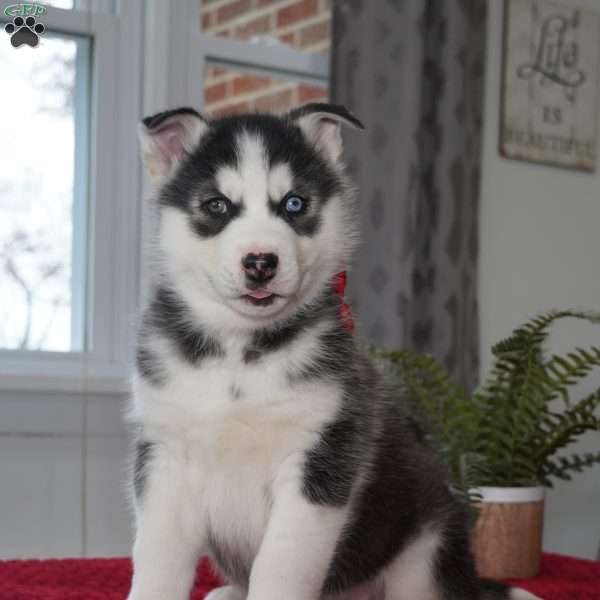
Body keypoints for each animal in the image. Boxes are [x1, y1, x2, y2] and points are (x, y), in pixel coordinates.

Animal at [126, 104, 540, 600]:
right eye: (216, 205)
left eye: (294, 204)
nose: (261, 263)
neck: (241, 353)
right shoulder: (165, 455)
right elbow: (158, 560)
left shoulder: (321, 458)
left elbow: (280, 566)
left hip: (429, 543)